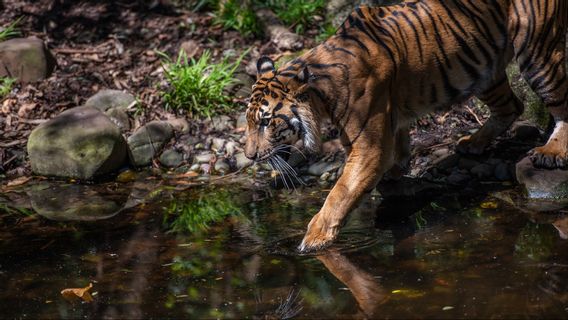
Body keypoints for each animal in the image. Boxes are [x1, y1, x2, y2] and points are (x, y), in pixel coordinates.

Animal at [243, 0, 568, 251]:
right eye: (248, 122)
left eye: (266, 122)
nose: (249, 156)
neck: (322, 95)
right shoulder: (389, 120)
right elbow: (399, 142)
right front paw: (396, 171)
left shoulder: (369, 145)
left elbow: (340, 193)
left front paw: (313, 240)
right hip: (483, 68)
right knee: (511, 105)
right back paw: (472, 143)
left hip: (537, 51)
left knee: (559, 102)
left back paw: (551, 152)